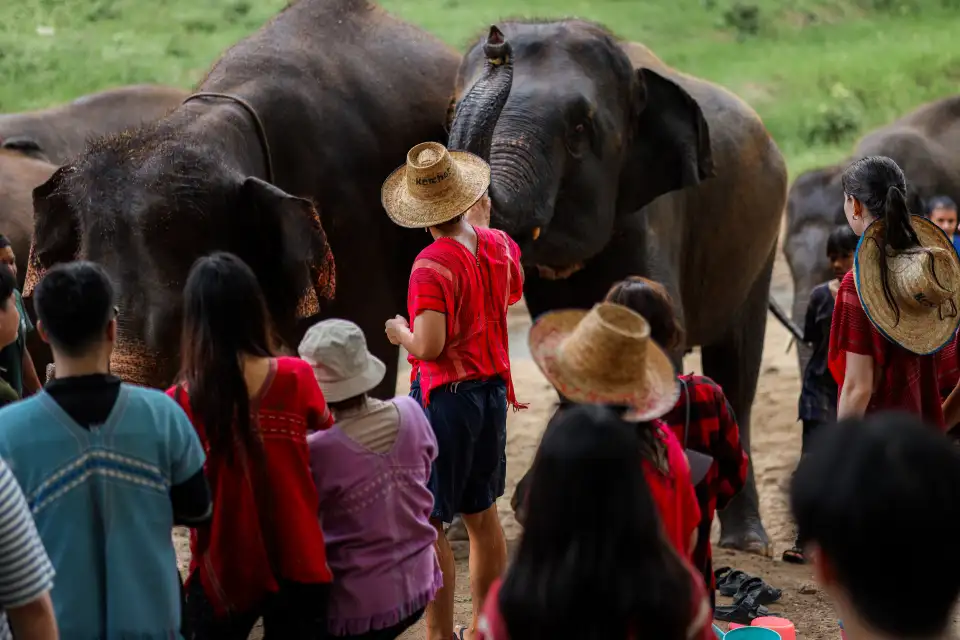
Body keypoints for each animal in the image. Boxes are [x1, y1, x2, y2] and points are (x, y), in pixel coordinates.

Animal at [448, 22, 787, 553]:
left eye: (579, 131)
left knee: (737, 370)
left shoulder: (654, 216)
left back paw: (748, 542)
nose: (496, 41)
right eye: (448, 111)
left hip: (761, 245)